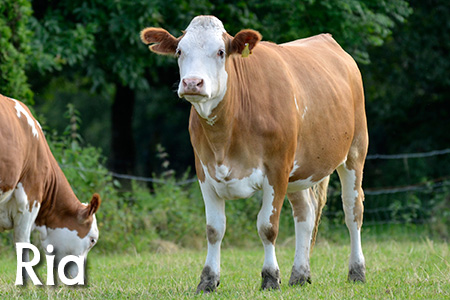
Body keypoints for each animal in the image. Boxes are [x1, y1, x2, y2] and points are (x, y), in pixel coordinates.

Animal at [142, 15, 370, 292]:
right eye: (179, 51)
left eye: (220, 52)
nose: (192, 83)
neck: (225, 136)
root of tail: (326, 40)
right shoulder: (204, 171)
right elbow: (214, 229)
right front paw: (208, 279)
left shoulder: (277, 170)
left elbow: (267, 227)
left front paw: (270, 277)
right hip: (299, 170)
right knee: (305, 214)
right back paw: (300, 274)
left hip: (354, 152)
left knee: (353, 211)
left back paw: (356, 271)